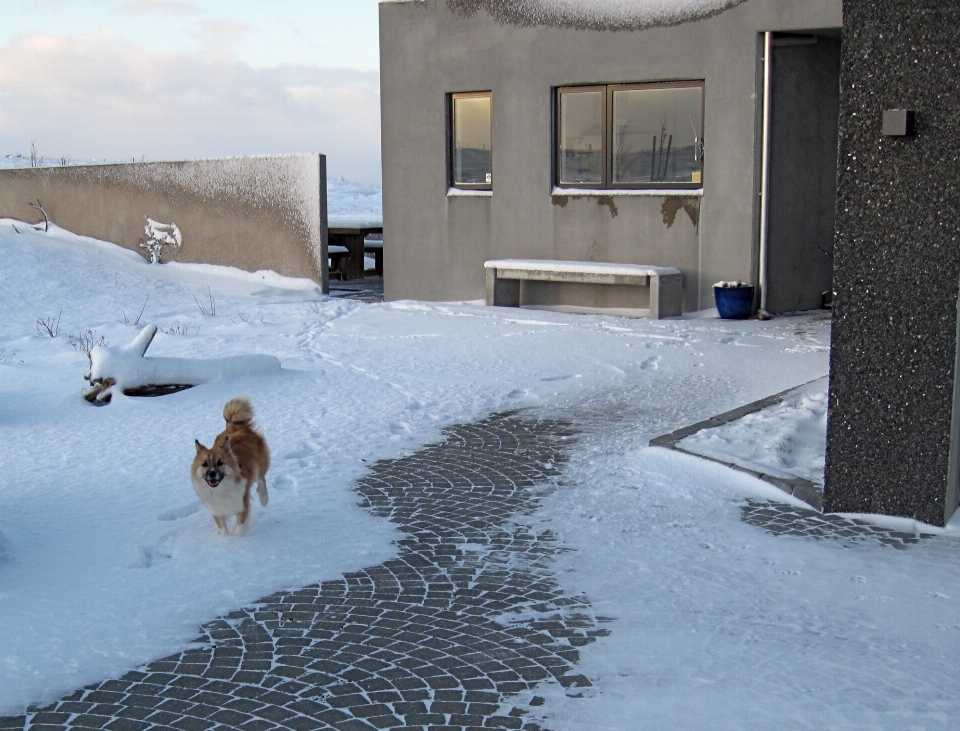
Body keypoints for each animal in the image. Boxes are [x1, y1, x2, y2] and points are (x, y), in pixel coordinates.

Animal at [192, 398, 270, 536]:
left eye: (220, 463)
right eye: (205, 464)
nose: (212, 474)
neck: (220, 489)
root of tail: (235, 427)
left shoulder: (242, 503)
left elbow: (240, 527)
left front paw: (236, 539)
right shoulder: (217, 511)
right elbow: (223, 529)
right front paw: (226, 539)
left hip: (259, 467)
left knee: (261, 479)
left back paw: (263, 498)